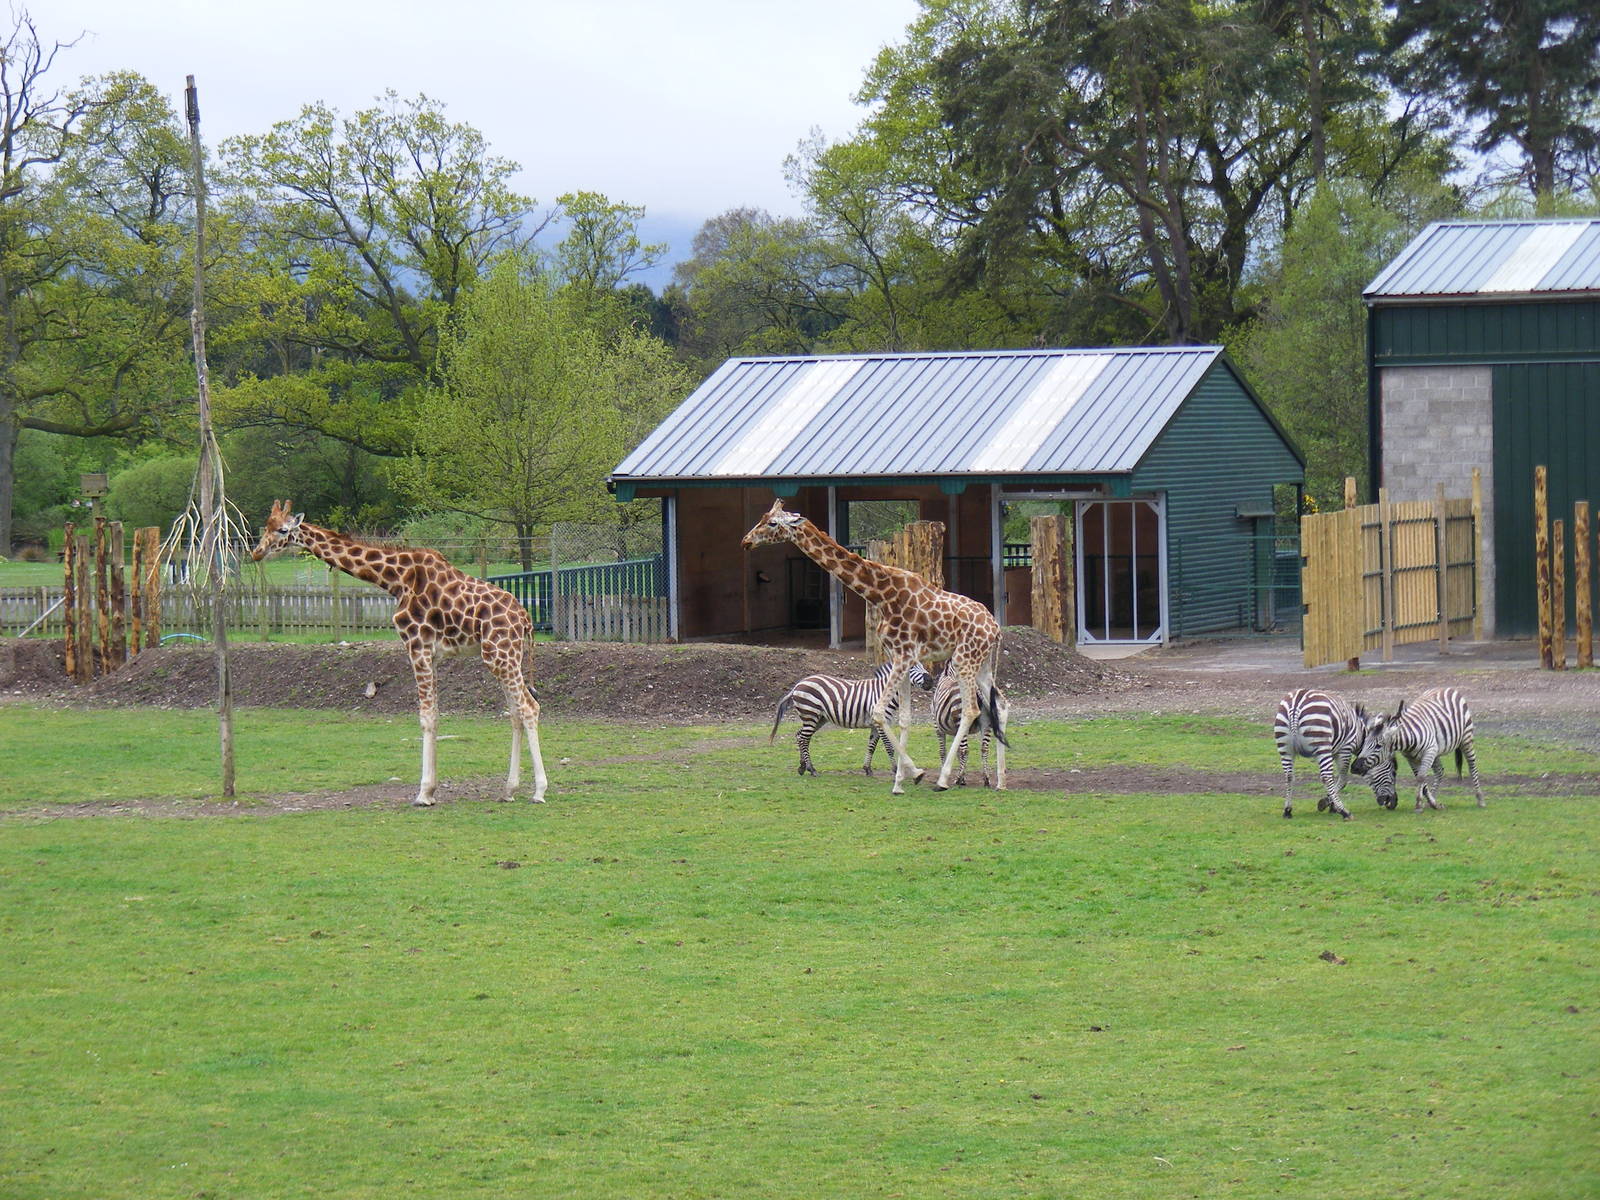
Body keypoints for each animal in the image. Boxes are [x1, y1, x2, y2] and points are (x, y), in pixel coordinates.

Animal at [250, 501, 548, 806]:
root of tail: (525, 619)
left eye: (282, 530)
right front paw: (431, 790)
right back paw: (509, 790)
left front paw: (424, 793)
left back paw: (539, 791)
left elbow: (426, 717)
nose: (256, 552)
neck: (396, 580)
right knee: (515, 712)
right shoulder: (432, 655)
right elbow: (435, 714)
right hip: (504, 656)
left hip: (500, 655)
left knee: (529, 707)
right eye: (267, 526)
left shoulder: (416, 645)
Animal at [770, 660, 933, 777]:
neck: (884, 693)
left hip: (818, 718)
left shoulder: (875, 724)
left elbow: (871, 746)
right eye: (911, 667)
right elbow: (889, 746)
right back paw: (811, 769)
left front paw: (867, 769)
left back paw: (802, 767)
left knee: (800, 736)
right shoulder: (881, 723)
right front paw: (894, 770)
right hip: (811, 714)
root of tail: (797, 685)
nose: (930, 681)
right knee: (804, 738)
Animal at [1272, 688, 1385, 819]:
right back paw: (1345, 812)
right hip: (1322, 745)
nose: (1390, 802)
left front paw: (1330, 804)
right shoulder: (1345, 749)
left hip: (1285, 747)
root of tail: (1297, 703)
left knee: (1289, 776)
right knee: (1326, 777)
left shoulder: (1332, 751)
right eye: (1392, 770)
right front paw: (1330, 805)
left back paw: (1287, 810)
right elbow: (1343, 779)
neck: (1360, 733)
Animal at [1354, 686, 1485, 812]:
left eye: (1378, 746)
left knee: (1472, 767)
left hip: (1466, 739)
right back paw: (1433, 801)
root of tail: (1448, 688)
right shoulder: (1411, 757)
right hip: (1437, 750)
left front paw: (1418, 805)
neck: (1408, 739)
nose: (1354, 767)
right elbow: (1420, 778)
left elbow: (1421, 777)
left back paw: (1480, 799)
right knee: (1439, 771)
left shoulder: (1429, 751)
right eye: (1365, 742)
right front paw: (1431, 803)